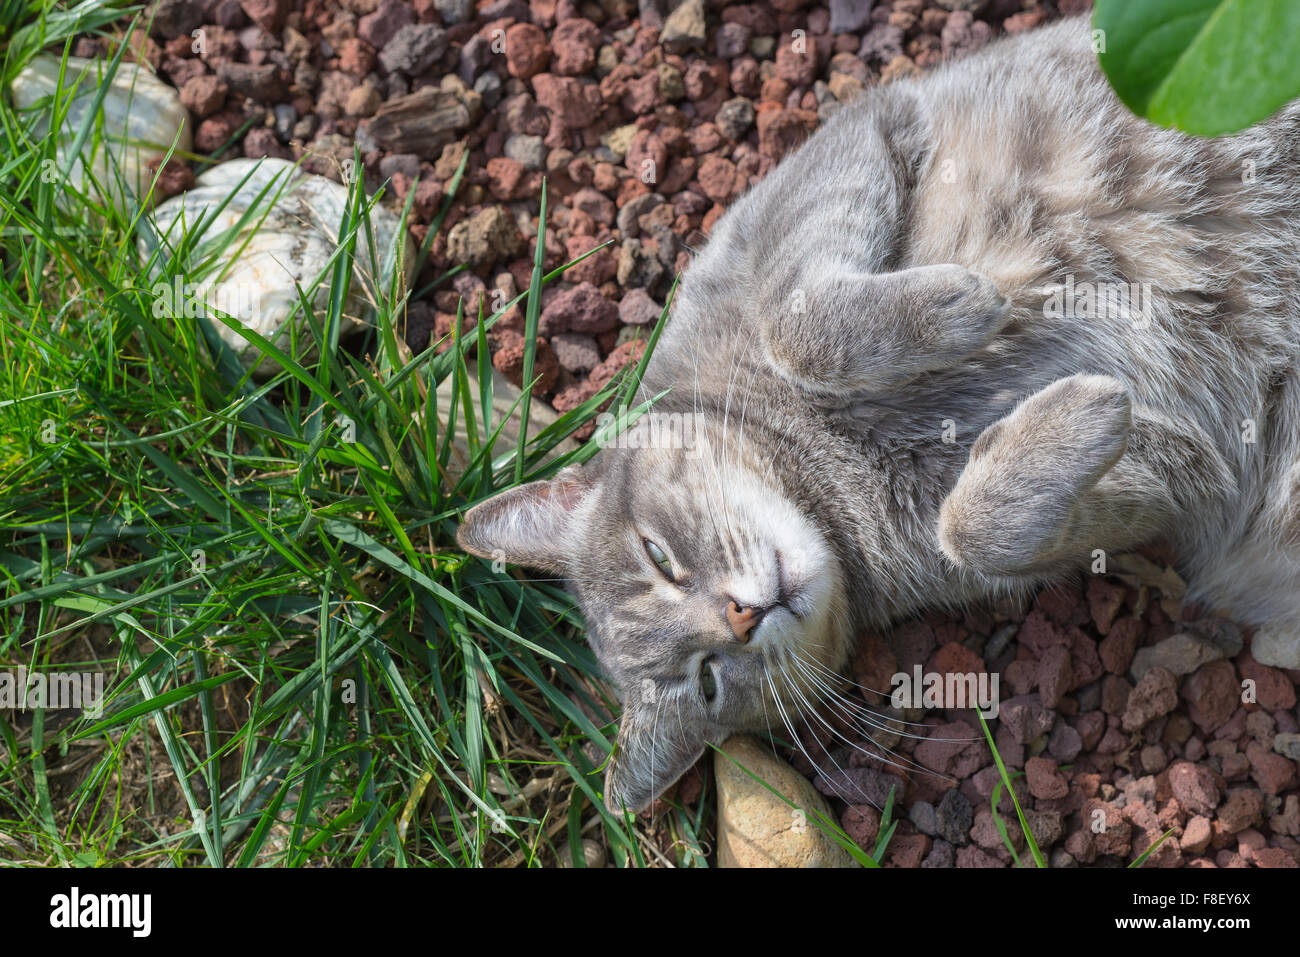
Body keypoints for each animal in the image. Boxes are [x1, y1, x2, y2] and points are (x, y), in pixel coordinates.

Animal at [454, 14, 1300, 811]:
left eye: (658, 556)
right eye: (708, 680)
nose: (742, 615)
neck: (822, 465)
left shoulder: (853, 141)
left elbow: (795, 326)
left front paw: (965, 303)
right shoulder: (1167, 486)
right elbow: (978, 527)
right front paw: (1078, 411)